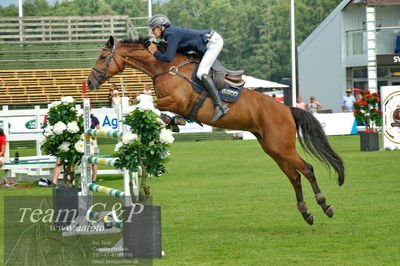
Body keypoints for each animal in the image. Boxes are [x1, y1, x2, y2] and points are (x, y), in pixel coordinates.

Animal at [87, 36, 344, 225]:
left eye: (102, 57)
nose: (90, 83)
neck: (165, 67)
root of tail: (287, 108)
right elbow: (148, 105)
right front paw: (172, 122)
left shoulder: (177, 101)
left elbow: (146, 102)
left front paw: (167, 120)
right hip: (272, 148)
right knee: (294, 176)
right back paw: (306, 213)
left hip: (283, 146)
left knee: (307, 170)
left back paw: (325, 205)